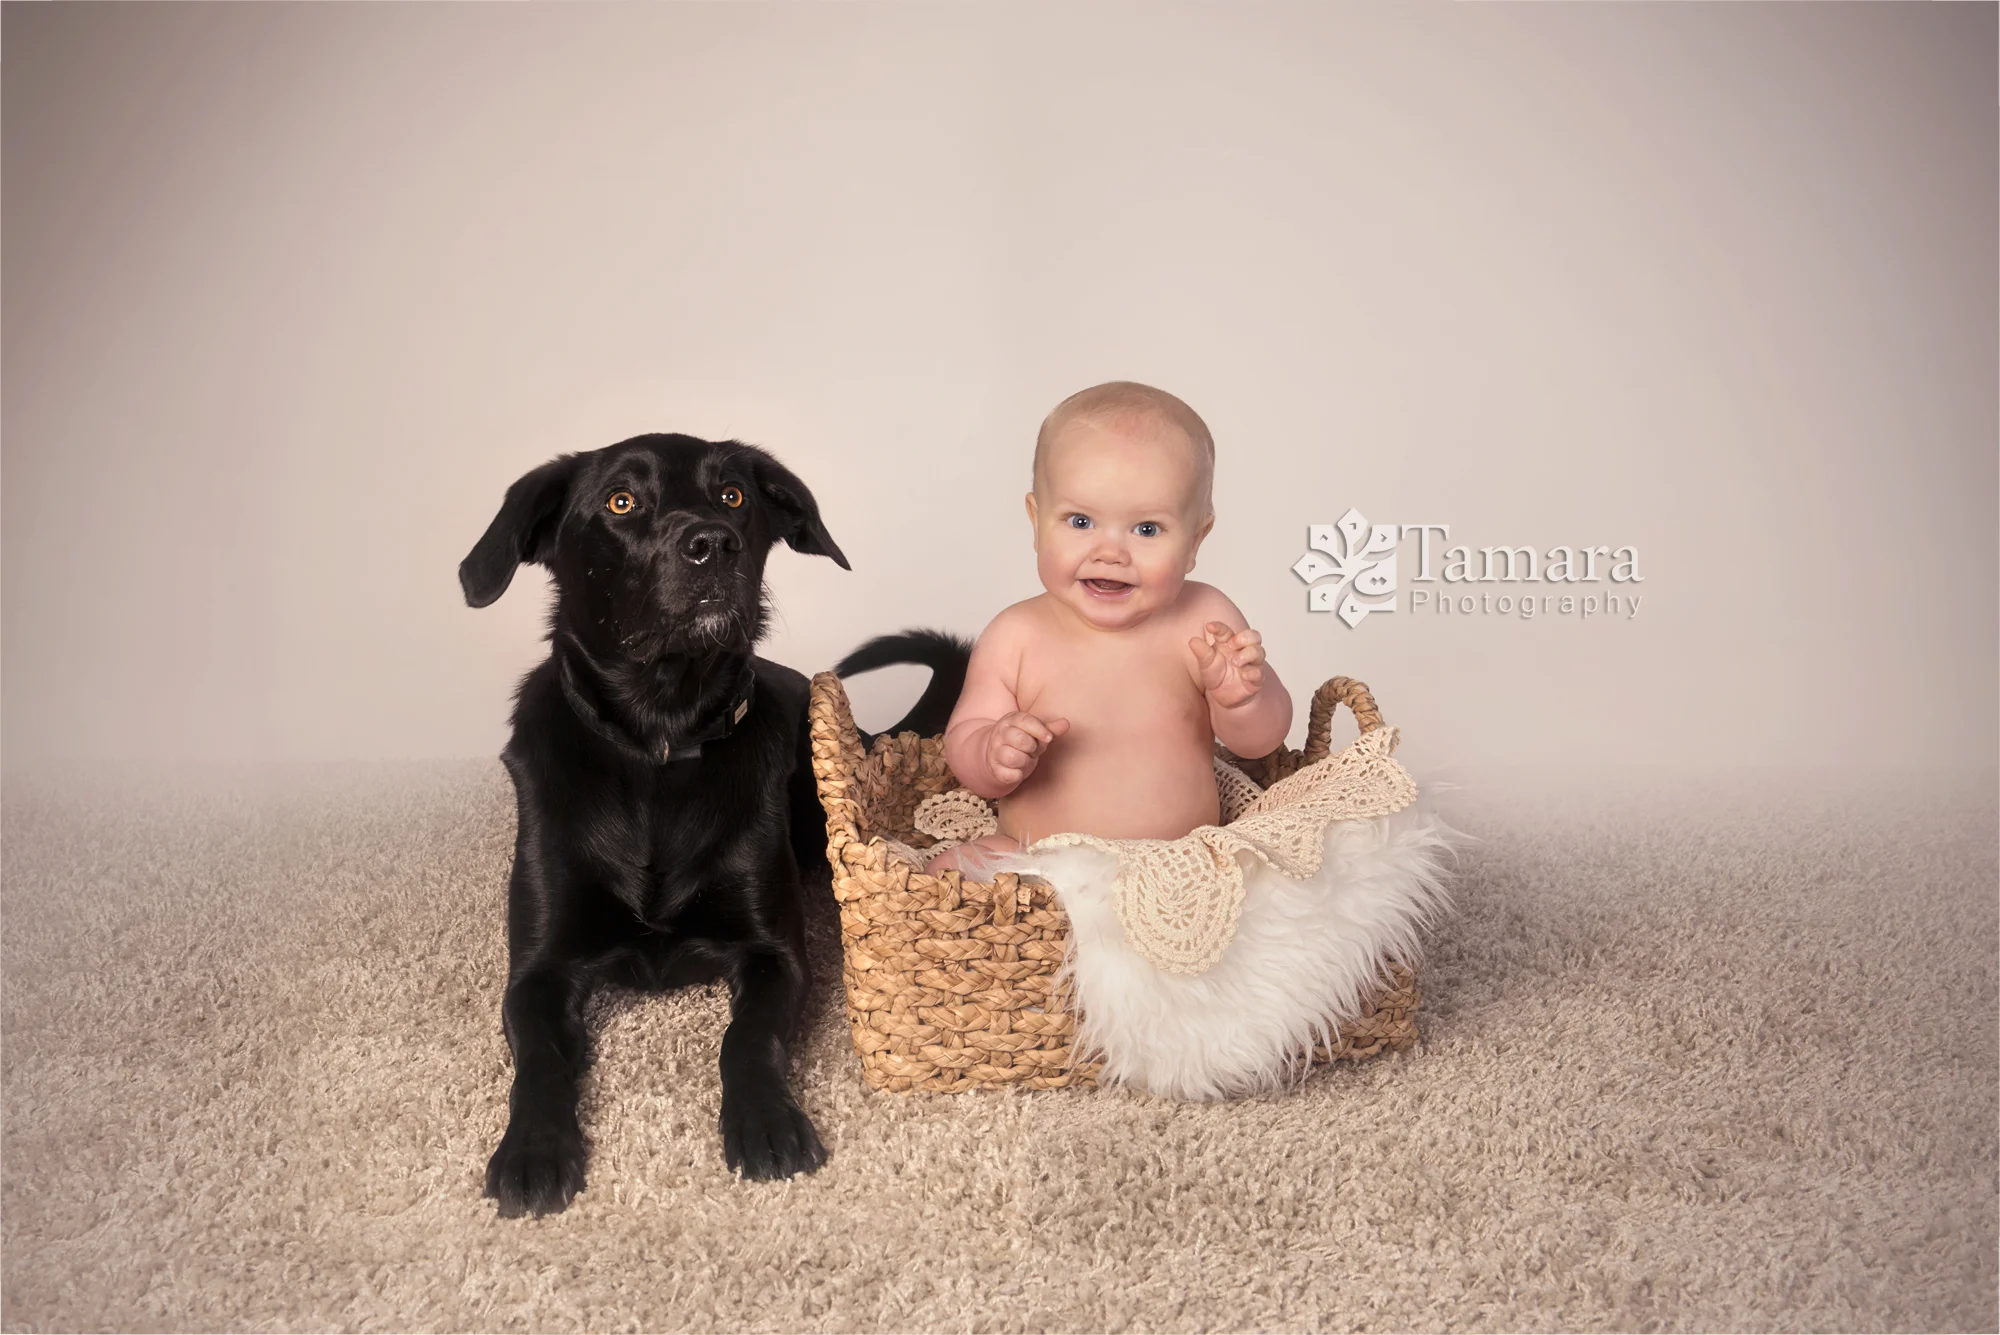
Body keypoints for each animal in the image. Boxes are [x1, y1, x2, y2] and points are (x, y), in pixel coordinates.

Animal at [458, 433, 956, 1217]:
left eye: (733, 496)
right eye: (621, 501)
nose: (715, 543)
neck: (662, 741)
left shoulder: (775, 955)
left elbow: (745, 1040)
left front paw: (766, 1122)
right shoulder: (535, 971)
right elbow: (538, 1059)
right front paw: (533, 1149)